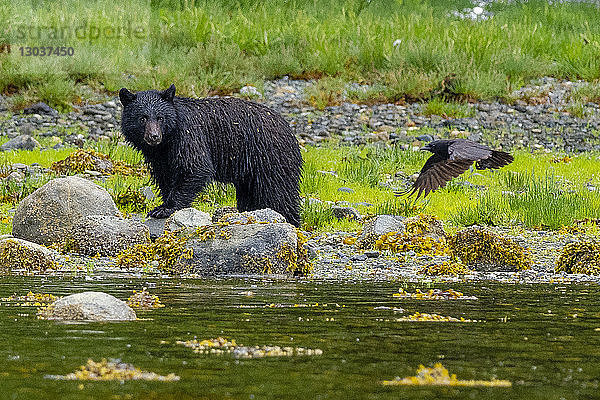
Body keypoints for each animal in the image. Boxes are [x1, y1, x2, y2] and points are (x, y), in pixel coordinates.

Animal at [119, 83, 302, 228]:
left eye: (160, 117)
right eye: (143, 118)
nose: (154, 136)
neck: (167, 141)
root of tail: (290, 130)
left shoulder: (189, 136)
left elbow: (196, 167)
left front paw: (164, 209)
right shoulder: (161, 157)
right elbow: (165, 176)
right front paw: (163, 204)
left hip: (271, 158)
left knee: (279, 193)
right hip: (250, 173)